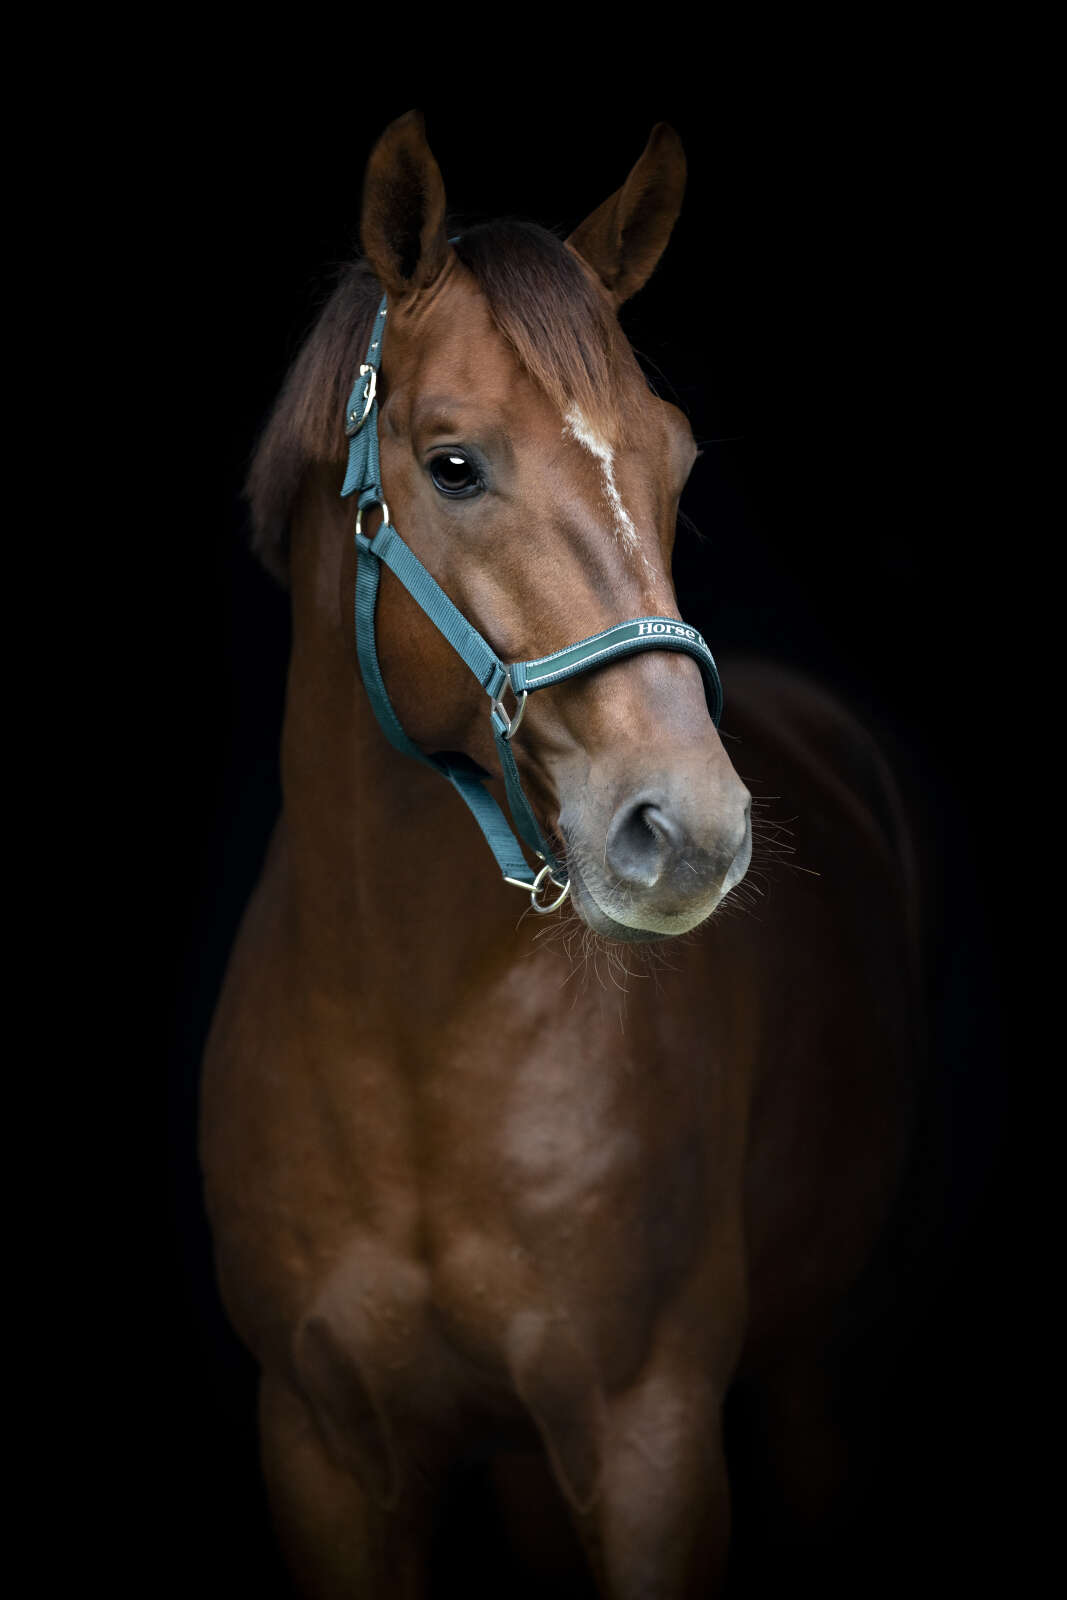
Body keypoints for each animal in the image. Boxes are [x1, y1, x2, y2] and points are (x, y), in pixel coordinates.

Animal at [200, 111, 922, 1597]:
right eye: (452, 462)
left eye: (674, 459)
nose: (687, 828)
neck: (408, 1039)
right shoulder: (320, 1450)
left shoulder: (649, 1446)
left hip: (822, 1366)